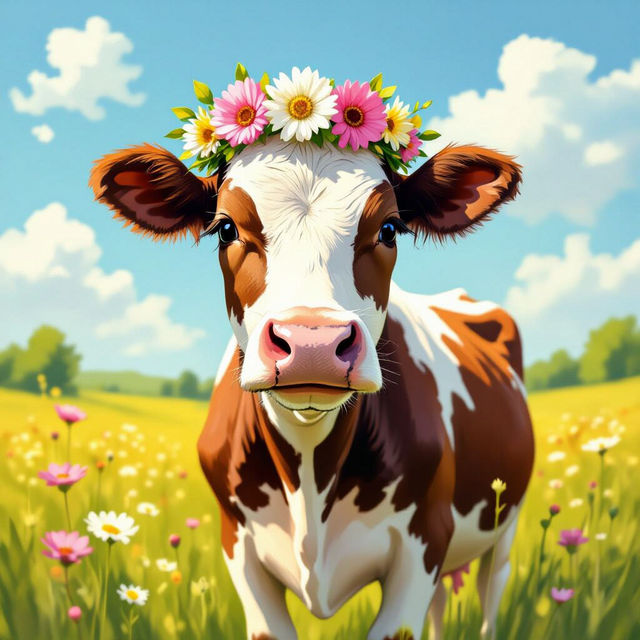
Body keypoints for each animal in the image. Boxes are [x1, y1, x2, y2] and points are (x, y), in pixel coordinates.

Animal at [91, 135, 534, 640]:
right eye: (225, 229)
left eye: (389, 229)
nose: (312, 344)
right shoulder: (239, 548)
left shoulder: (423, 542)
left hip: (503, 527)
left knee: (489, 593)